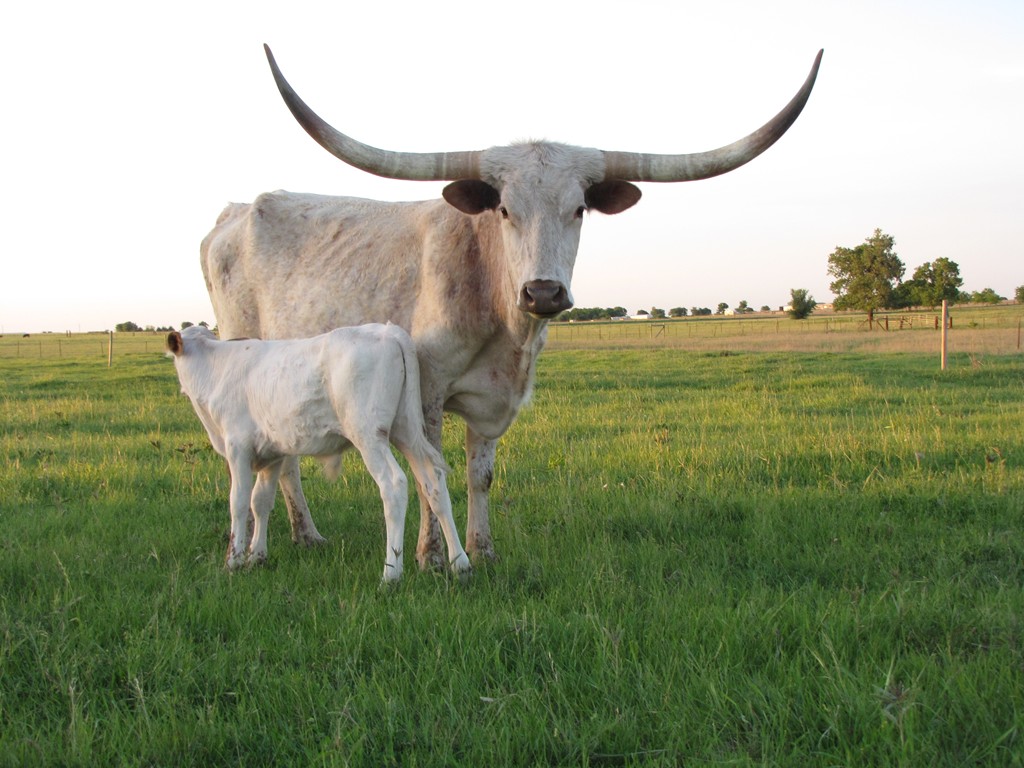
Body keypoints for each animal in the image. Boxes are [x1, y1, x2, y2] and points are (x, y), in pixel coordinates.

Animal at [166, 323, 471, 582]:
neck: (215, 369)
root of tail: (387, 330)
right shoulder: (273, 453)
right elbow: (261, 501)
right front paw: (257, 556)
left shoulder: (237, 447)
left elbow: (239, 502)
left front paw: (235, 560)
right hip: (406, 429)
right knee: (433, 484)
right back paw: (460, 564)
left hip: (368, 435)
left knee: (394, 485)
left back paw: (391, 574)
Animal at [201, 46, 823, 568]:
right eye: (503, 209)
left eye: (579, 208)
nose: (543, 292)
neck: (502, 321)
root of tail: (235, 212)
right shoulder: (426, 392)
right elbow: (431, 473)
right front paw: (432, 557)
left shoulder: (493, 400)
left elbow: (480, 477)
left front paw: (484, 550)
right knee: (283, 465)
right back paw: (303, 535)